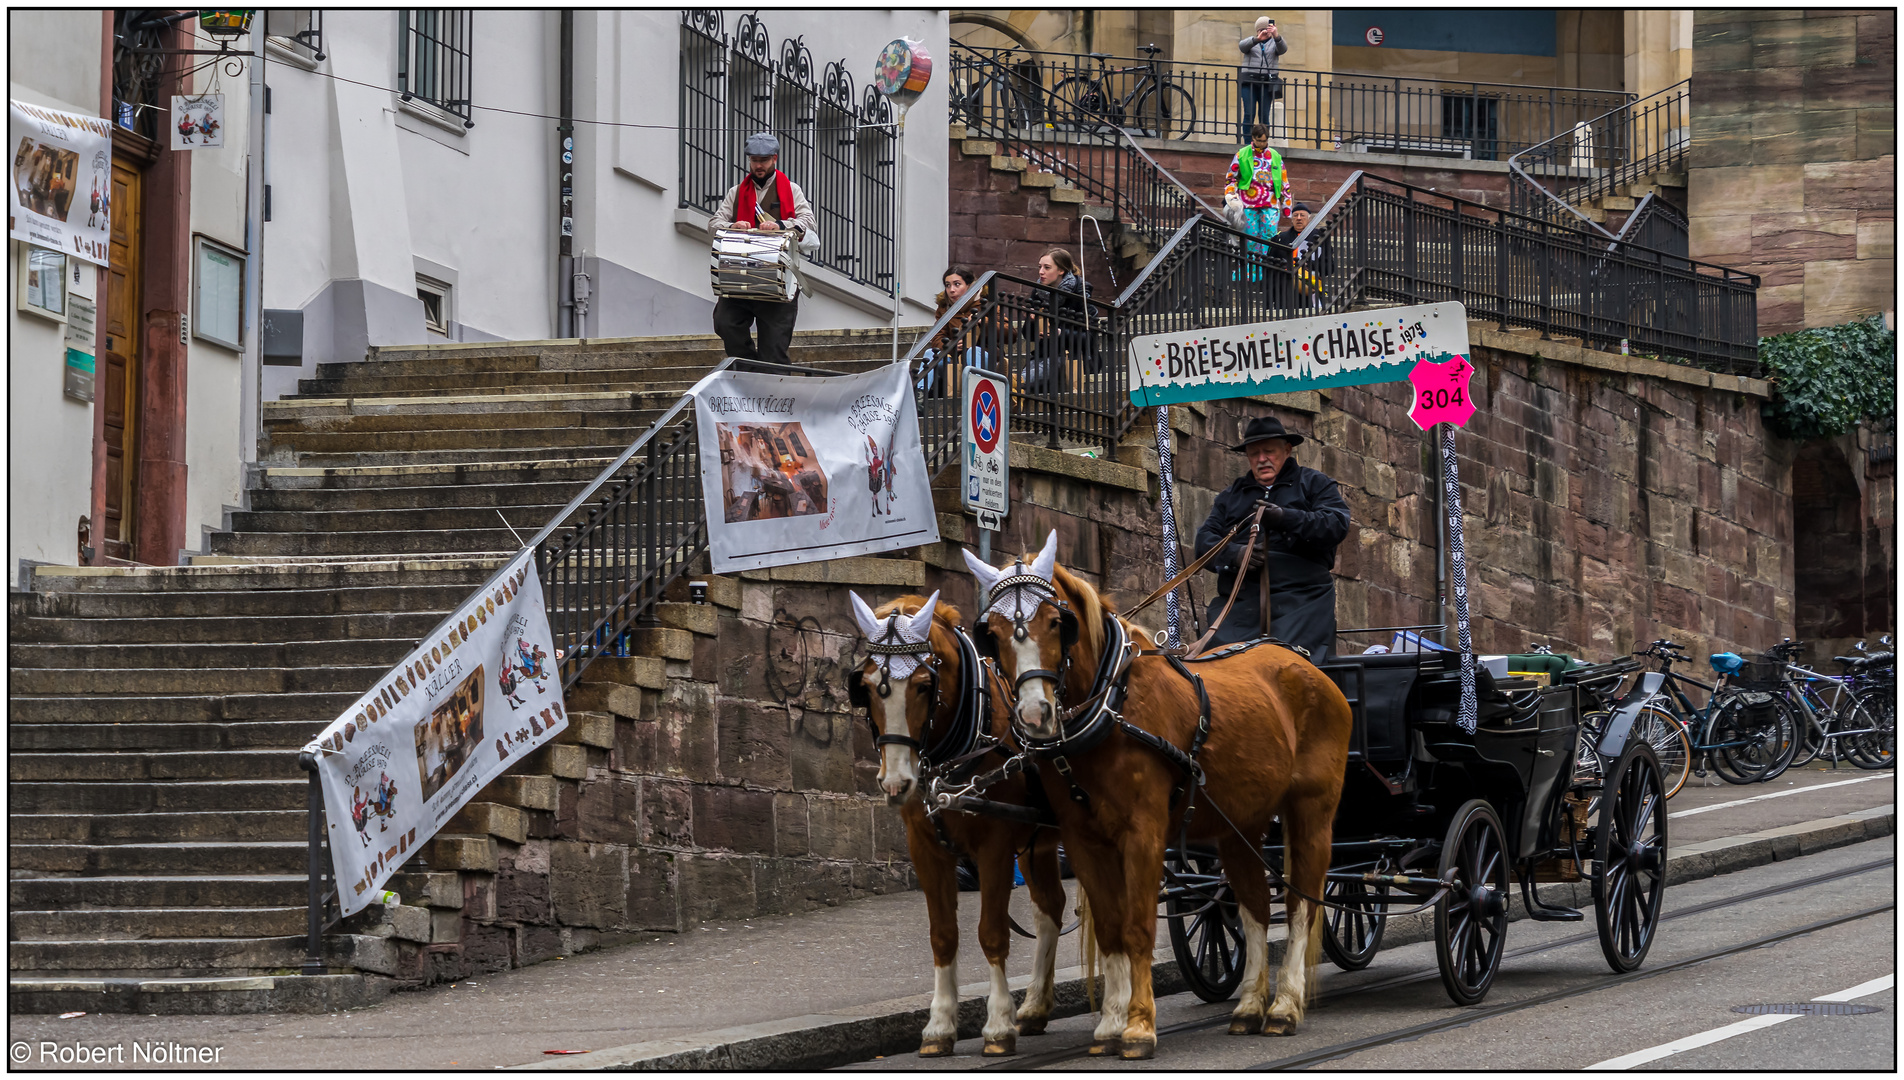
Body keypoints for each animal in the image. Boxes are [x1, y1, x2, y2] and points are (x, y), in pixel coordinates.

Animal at [849, 590, 1073, 1059]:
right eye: (866, 687)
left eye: (923, 685)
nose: (896, 782)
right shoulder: (926, 848)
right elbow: (943, 935)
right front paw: (939, 1026)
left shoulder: (995, 847)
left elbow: (992, 933)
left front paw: (998, 1025)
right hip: (1042, 844)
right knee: (1051, 909)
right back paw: (1036, 1007)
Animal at [967, 537, 1355, 1059]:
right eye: (992, 632)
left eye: (1055, 622)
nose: (1034, 714)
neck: (1113, 706)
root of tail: (1306, 664)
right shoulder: (1084, 841)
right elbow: (1112, 927)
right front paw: (1110, 1025)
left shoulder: (1144, 835)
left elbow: (1137, 927)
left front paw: (1138, 1026)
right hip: (1241, 826)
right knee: (1254, 907)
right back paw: (1250, 1006)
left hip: (1312, 813)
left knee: (1301, 908)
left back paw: (1284, 1007)